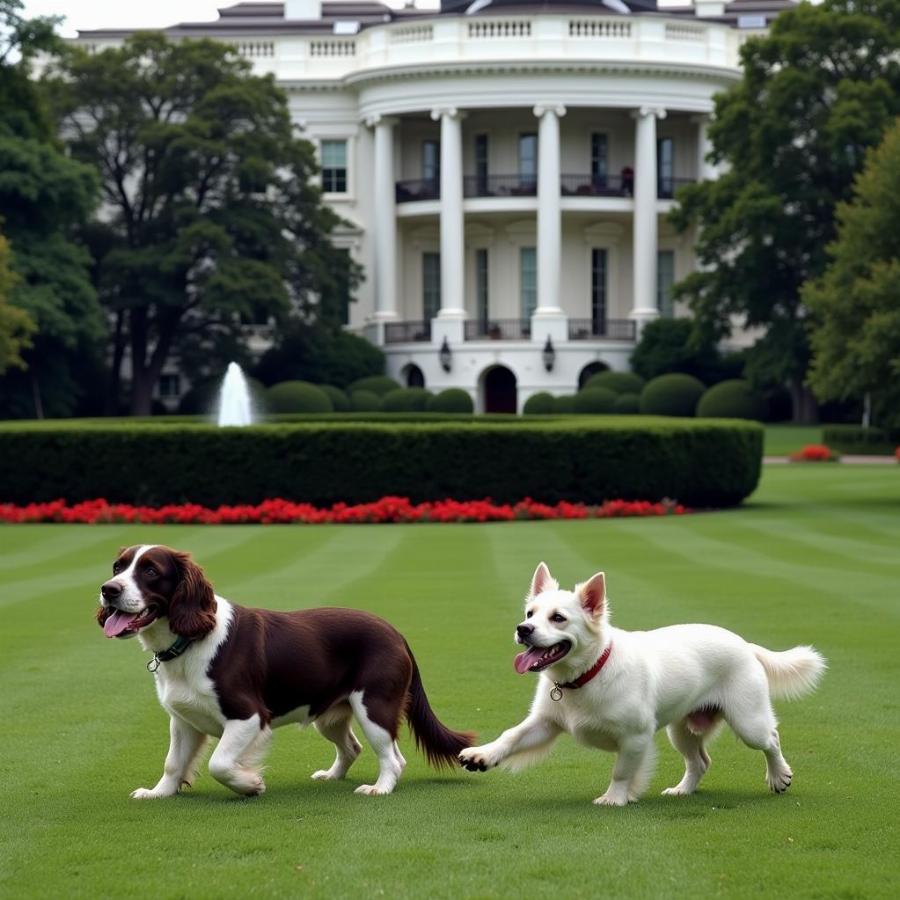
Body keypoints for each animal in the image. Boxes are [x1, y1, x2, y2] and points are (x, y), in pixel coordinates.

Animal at [98, 544, 474, 800]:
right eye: (118, 566)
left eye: (150, 571)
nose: (108, 589)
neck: (189, 640)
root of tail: (396, 633)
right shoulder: (184, 720)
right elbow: (173, 762)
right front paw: (158, 793)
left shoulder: (248, 715)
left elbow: (219, 762)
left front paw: (250, 784)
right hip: (332, 714)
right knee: (355, 747)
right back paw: (333, 776)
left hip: (374, 704)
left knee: (392, 757)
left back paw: (379, 788)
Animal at [460, 564, 828, 808]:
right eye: (530, 613)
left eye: (558, 618)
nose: (522, 629)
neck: (586, 675)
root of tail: (745, 644)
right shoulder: (544, 723)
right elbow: (511, 736)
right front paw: (482, 756)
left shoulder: (635, 738)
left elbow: (622, 771)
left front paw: (615, 798)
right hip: (682, 730)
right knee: (700, 762)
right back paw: (683, 790)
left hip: (748, 721)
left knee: (771, 739)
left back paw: (779, 776)